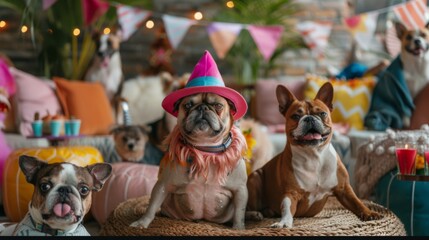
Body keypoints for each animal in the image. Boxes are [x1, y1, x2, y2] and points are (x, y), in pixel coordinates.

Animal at [131, 50, 247, 229]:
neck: (206, 152)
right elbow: (151, 206)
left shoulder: (240, 190)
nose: (203, 108)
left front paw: (239, 228)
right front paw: (142, 222)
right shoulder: (162, 185)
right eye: (187, 105)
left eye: (218, 106)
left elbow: (240, 213)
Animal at [244, 82, 382, 227]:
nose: (309, 118)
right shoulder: (291, 193)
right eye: (296, 116)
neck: (314, 156)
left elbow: (357, 202)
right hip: (255, 177)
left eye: (322, 113)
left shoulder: (344, 189)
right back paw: (255, 214)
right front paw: (284, 222)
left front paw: (369, 213)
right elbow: (287, 209)